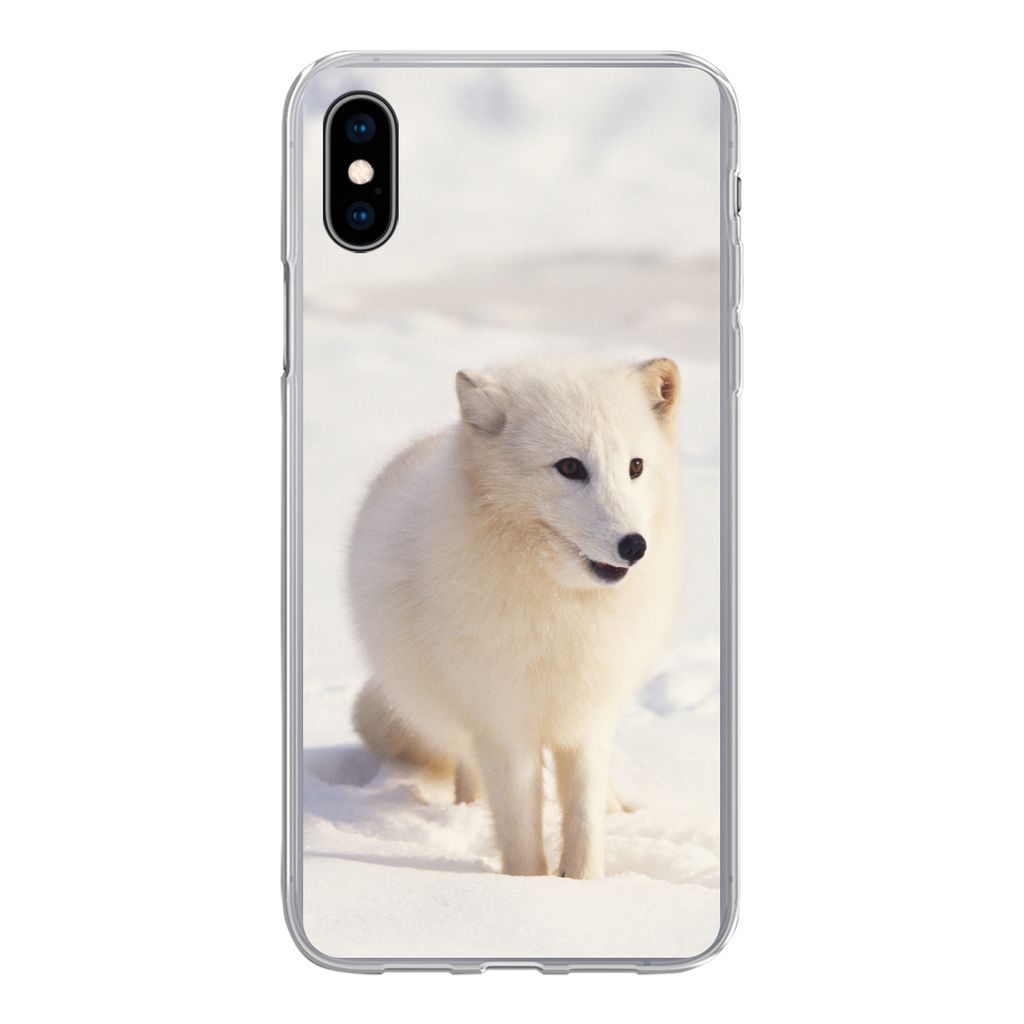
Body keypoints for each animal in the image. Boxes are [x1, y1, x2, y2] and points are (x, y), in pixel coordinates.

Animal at [348, 357, 681, 879]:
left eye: (635, 467)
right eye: (570, 467)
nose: (634, 545)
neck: (563, 612)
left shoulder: (587, 715)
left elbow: (584, 819)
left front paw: (586, 883)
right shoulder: (503, 724)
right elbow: (521, 830)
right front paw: (527, 887)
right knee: (469, 767)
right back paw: (468, 808)